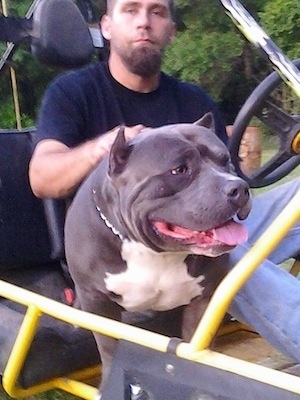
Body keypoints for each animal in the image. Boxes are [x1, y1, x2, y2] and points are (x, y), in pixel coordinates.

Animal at [64, 113, 252, 390]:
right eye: (179, 169)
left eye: (225, 161)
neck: (155, 253)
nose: (239, 188)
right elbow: (109, 347)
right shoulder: (97, 302)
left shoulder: (204, 298)